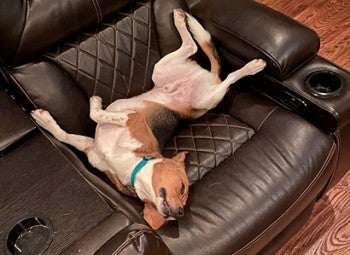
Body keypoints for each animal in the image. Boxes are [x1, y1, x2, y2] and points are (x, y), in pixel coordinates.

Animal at [31, 9, 266, 229]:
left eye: (185, 195)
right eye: (183, 187)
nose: (179, 214)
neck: (131, 166)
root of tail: (208, 78)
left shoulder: (131, 118)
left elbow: (93, 115)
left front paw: (95, 104)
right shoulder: (95, 146)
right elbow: (68, 133)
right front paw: (47, 120)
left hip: (206, 98)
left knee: (225, 75)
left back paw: (253, 66)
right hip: (163, 71)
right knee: (193, 49)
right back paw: (181, 19)